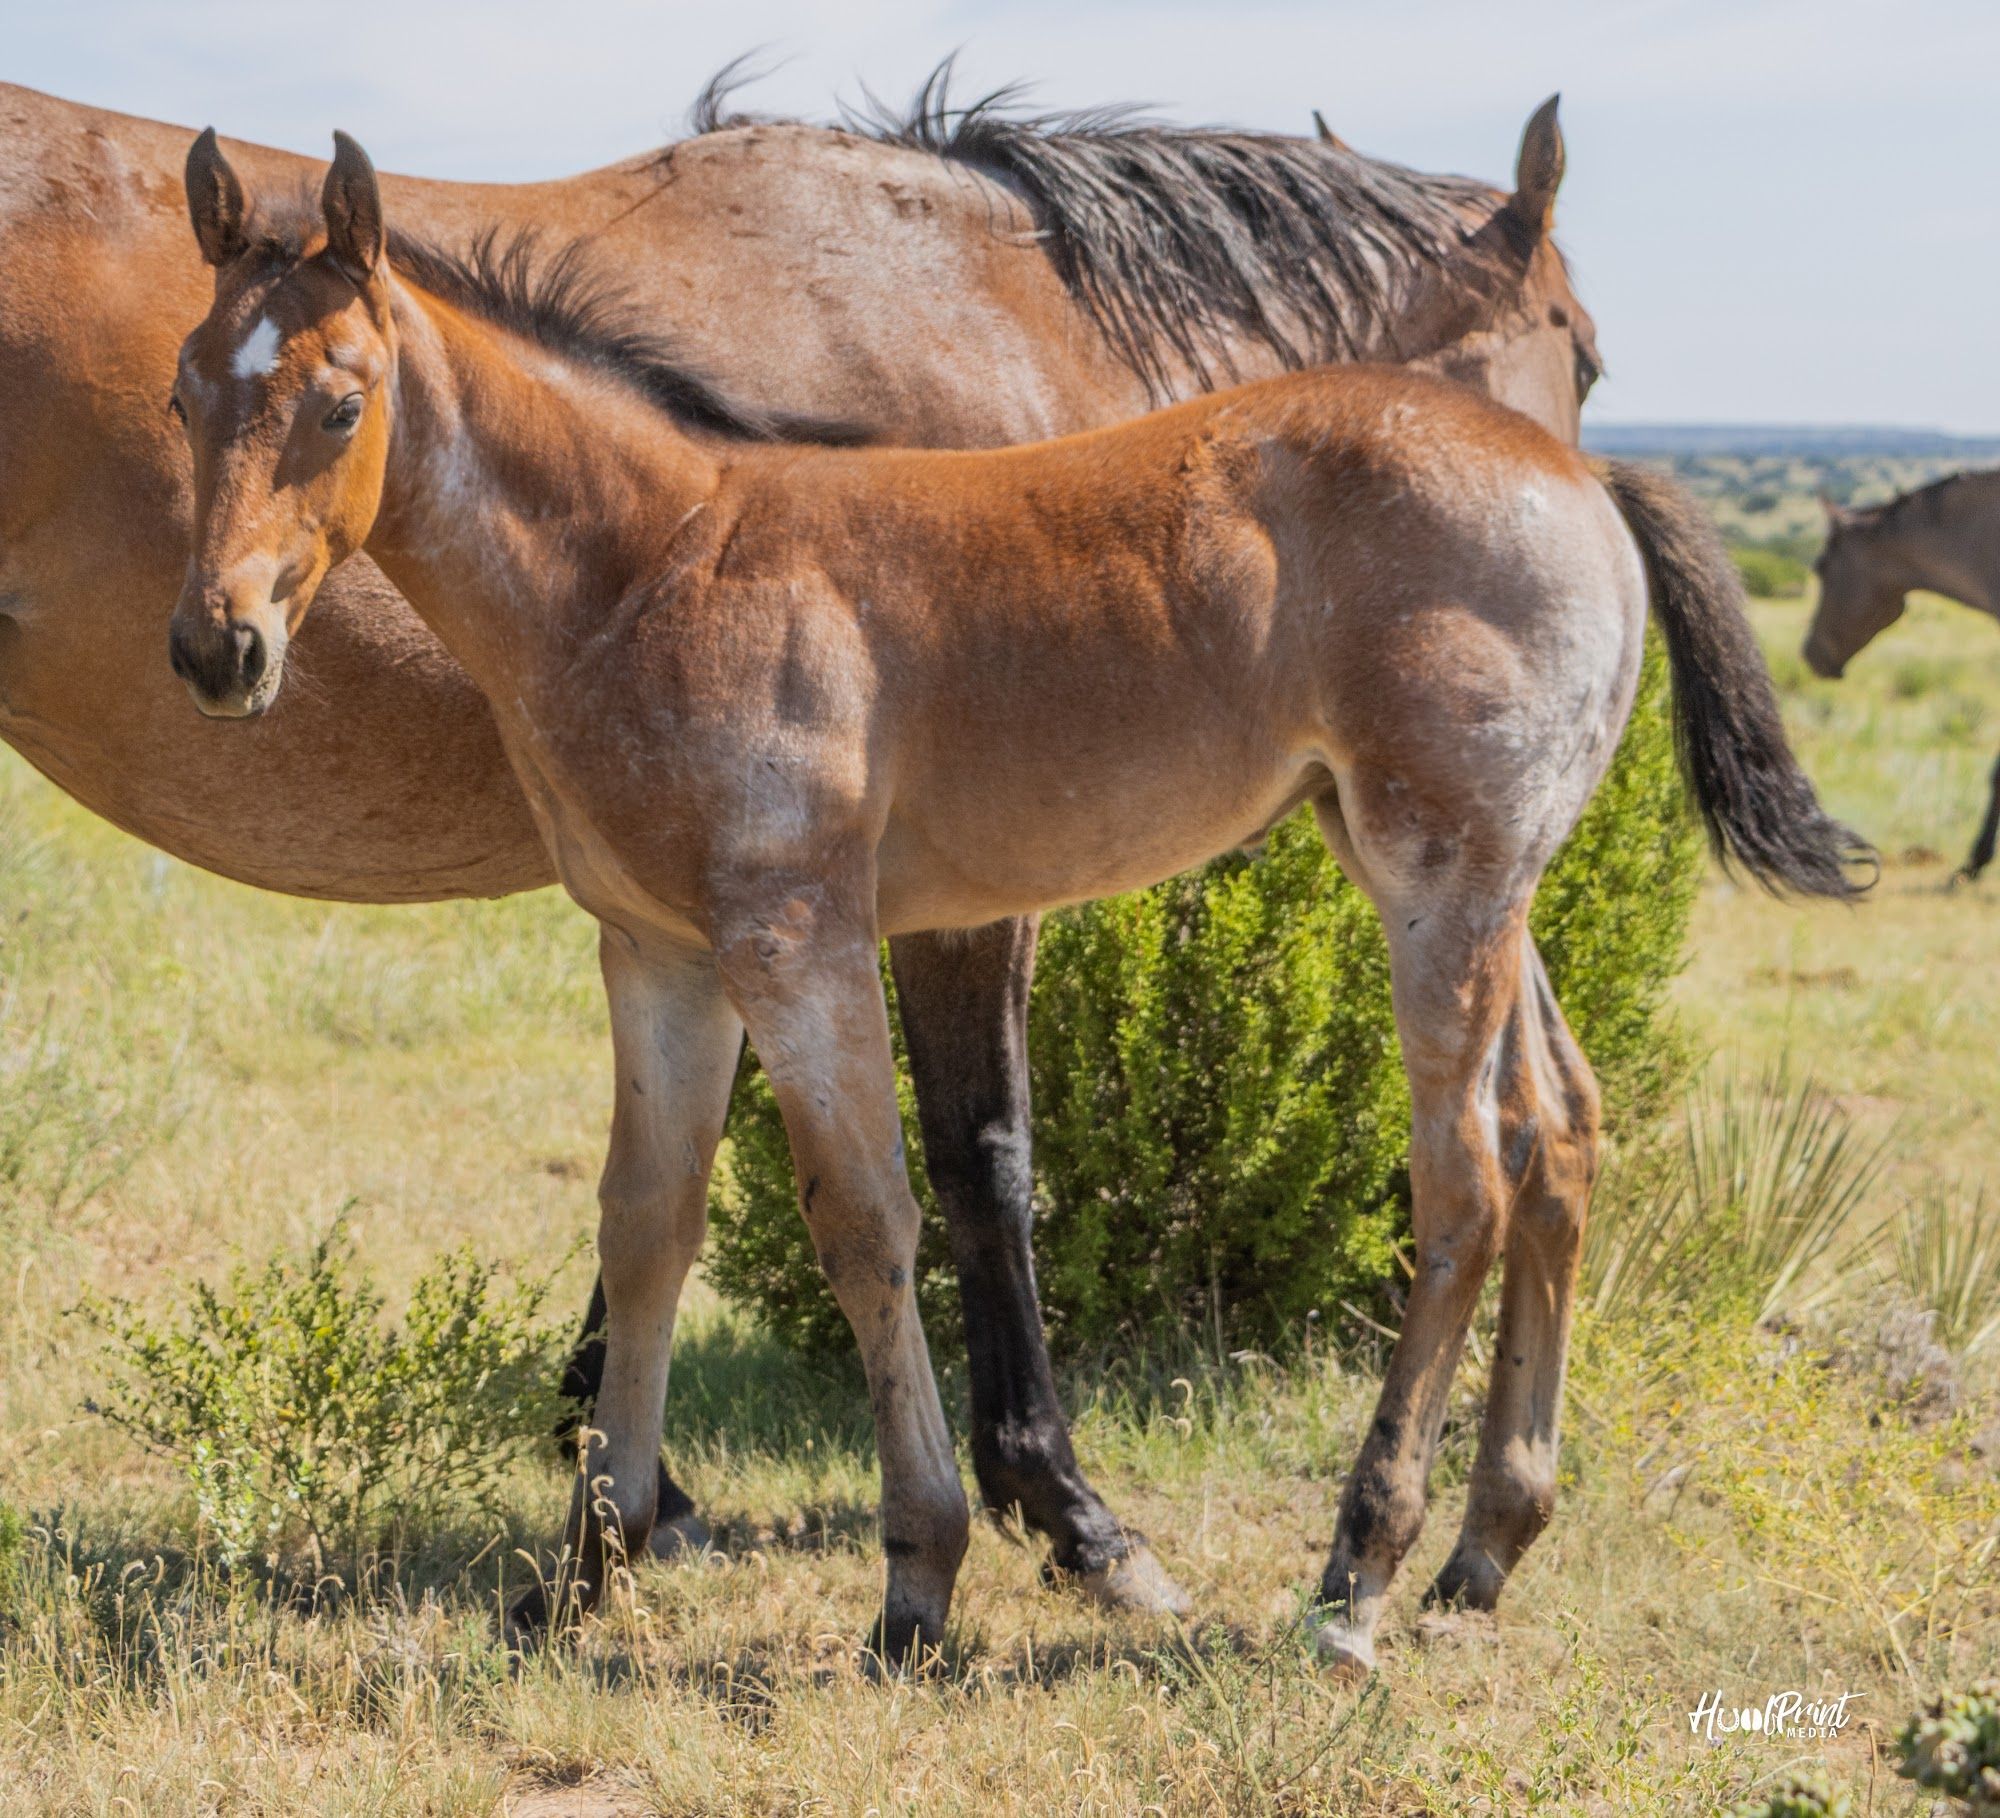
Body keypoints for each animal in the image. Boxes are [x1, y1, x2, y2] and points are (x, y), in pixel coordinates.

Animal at [164, 131, 1865, 1673]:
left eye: (338, 402)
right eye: (183, 394)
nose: (215, 649)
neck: (653, 564)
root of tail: (1580, 475)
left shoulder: (798, 938)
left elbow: (866, 1218)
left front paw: (919, 1583)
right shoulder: (659, 951)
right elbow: (647, 1224)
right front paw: (581, 1576)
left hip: (1439, 876)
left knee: (1464, 1178)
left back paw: (1358, 1577)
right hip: (1477, 878)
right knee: (1560, 1129)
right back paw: (1482, 1552)